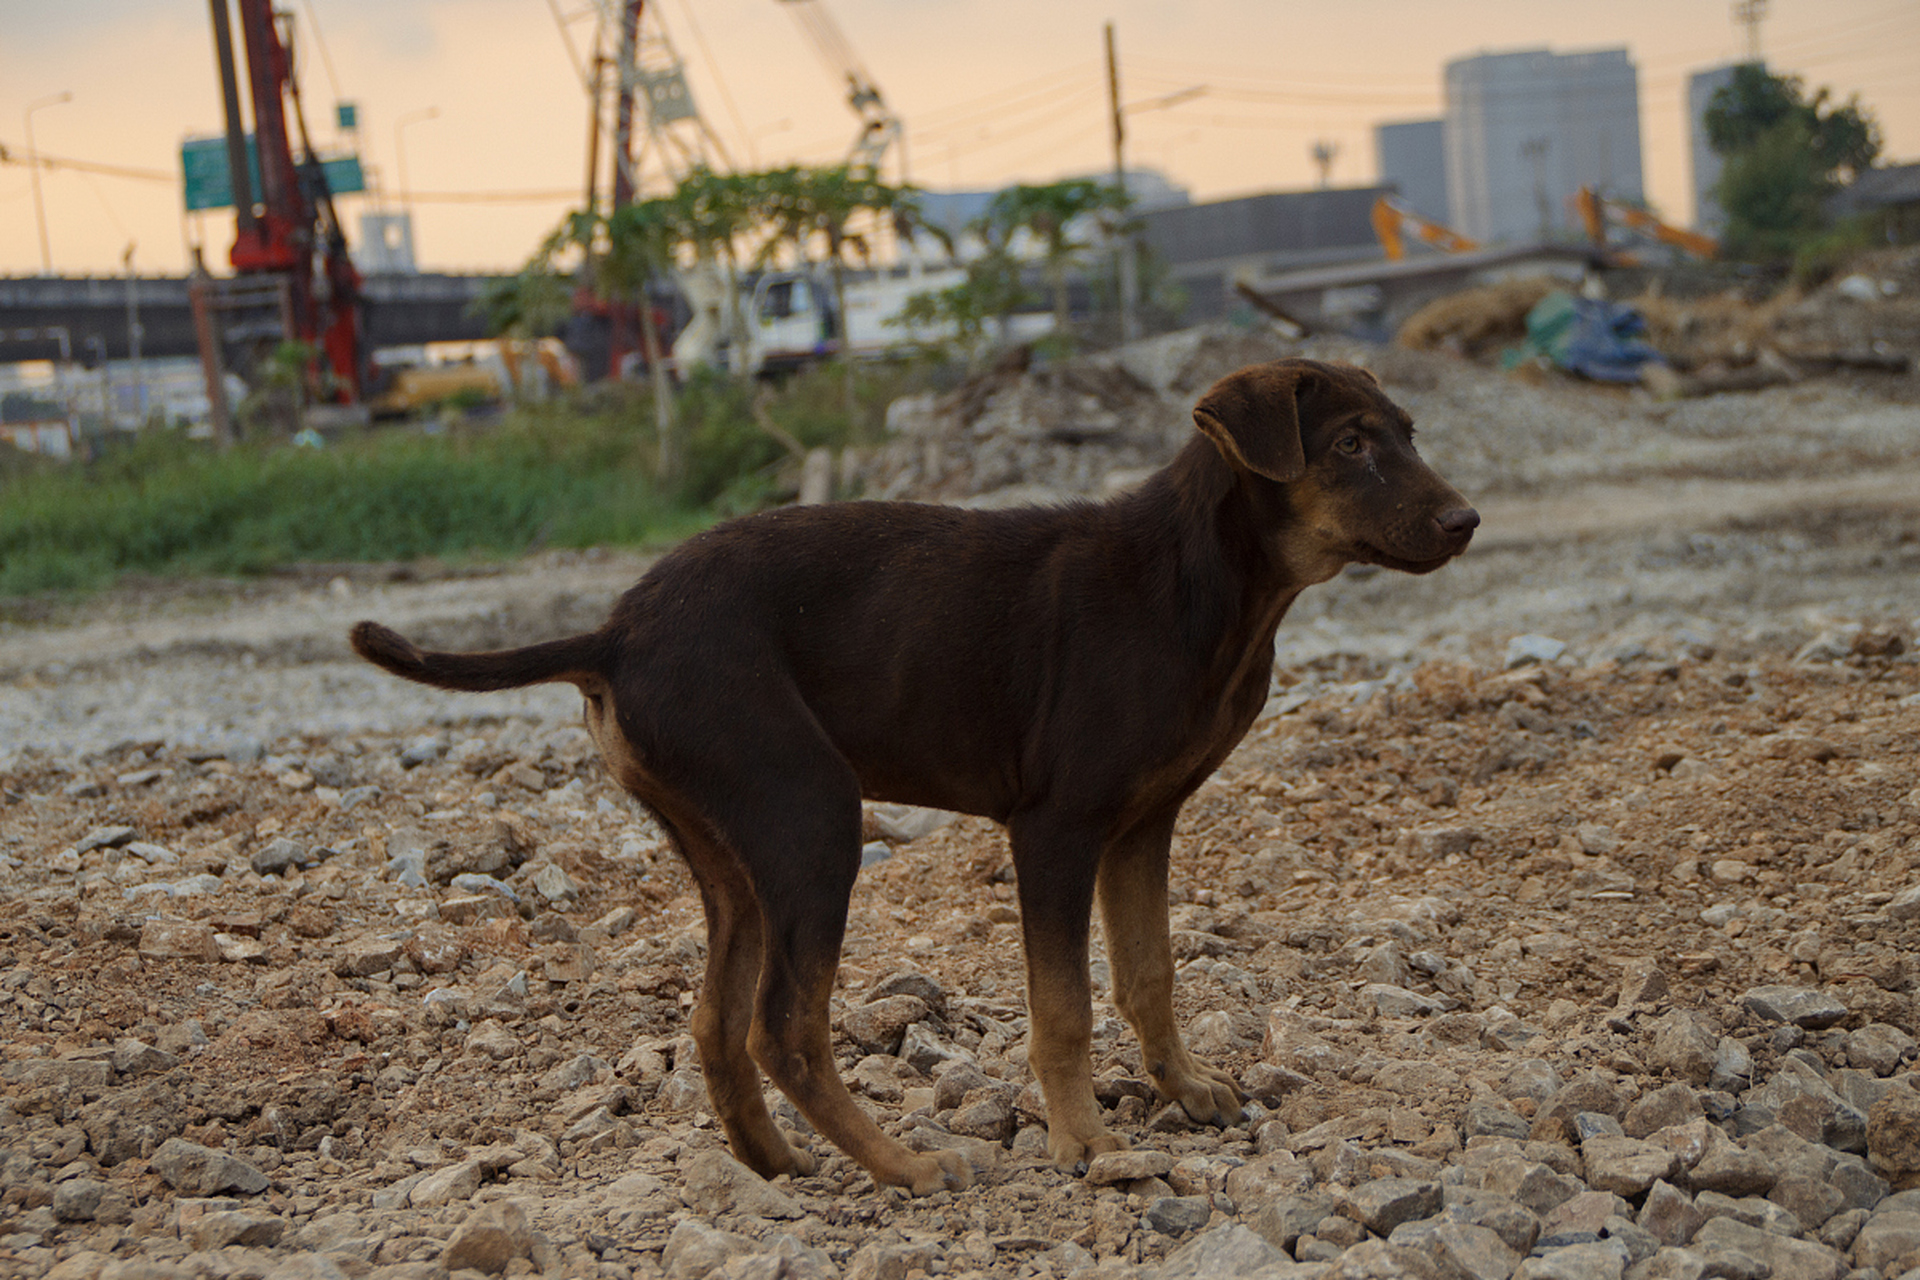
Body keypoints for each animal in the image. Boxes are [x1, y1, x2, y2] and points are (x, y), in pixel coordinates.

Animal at [353, 355, 1474, 1197]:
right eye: (1351, 444)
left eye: (1408, 433)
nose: (1465, 522)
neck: (1206, 583)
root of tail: (618, 631)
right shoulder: (1056, 829)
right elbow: (1063, 1005)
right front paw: (1085, 1142)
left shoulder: (1142, 825)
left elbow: (1149, 972)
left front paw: (1185, 1088)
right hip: (811, 814)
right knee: (783, 1027)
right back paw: (901, 1163)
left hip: (734, 850)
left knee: (716, 1022)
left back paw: (777, 1163)